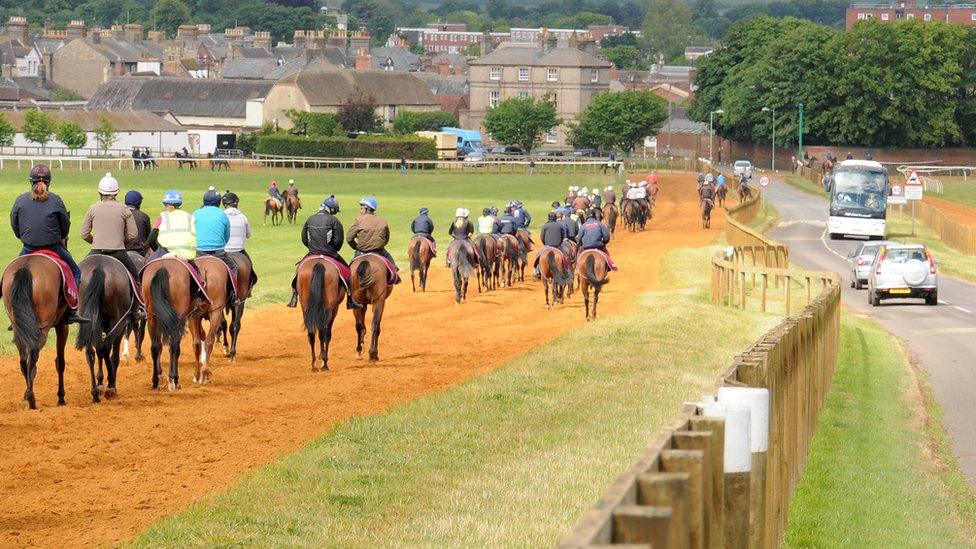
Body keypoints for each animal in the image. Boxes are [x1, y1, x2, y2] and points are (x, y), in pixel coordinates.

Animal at [0, 255, 69, 408]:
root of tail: (26, 267)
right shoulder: (62, 326)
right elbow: (60, 362)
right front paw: (61, 398)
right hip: (42, 327)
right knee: (33, 355)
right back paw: (31, 399)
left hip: (18, 327)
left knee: (23, 359)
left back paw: (29, 395)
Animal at [76, 254, 138, 402]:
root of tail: (99, 268)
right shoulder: (121, 325)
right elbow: (112, 355)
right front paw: (109, 384)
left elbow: (98, 351)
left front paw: (100, 383)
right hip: (117, 321)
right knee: (106, 348)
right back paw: (110, 386)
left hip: (88, 321)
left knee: (91, 353)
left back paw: (95, 393)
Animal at [140, 260, 203, 392]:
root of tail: (163, 268)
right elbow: (175, 348)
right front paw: (174, 379)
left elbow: (159, 347)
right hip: (178, 319)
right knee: (174, 347)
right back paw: (174, 379)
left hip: (152, 317)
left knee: (155, 347)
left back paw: (155, 382)